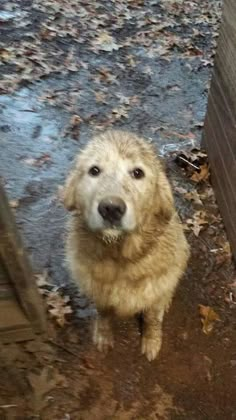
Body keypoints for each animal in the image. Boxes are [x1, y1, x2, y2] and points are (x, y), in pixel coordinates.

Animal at [63, 130, 189, 360]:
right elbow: (103, 314)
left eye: (137, 173)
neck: (120, 255)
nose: (111, 208)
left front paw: (152, 341)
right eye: (94, 170)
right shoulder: (99, 292)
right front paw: (103, 336)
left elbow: (152, 319)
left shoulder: (154, 294)